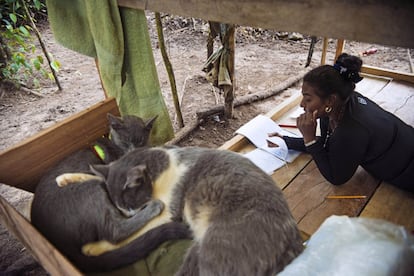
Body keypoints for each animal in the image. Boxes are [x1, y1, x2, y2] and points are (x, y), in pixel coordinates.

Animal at [85, 146, 304, 274]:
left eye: (132, 207)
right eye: (121, 210)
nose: (129, 214)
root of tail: (295, 246)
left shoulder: (168, 212)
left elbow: (135, 231)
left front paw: (93, 247)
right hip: (196, 251)